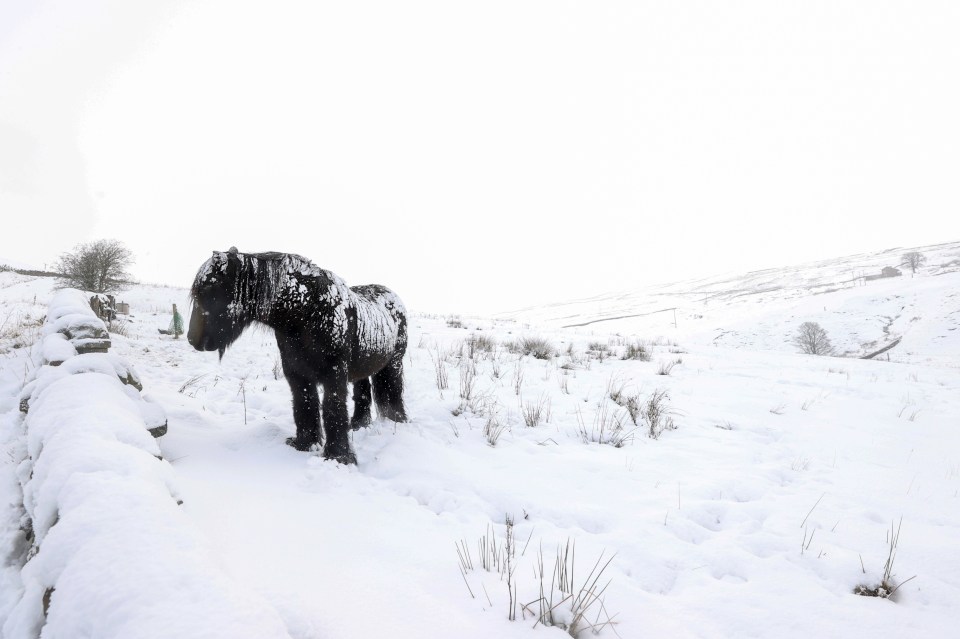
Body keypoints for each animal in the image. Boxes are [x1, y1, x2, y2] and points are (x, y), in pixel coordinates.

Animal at [188, 246, 408, 464]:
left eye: (208, 289)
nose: (191, 339)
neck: (308, 313)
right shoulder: (297, 373)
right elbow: (304, 404)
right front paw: (304, 444)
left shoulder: (334, 375)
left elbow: (333, 409)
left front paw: (338, 456)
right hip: (362, 368)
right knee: (362, 392)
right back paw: (359, 424)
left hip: (394, 363)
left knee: (394, 390)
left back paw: (398, 420)